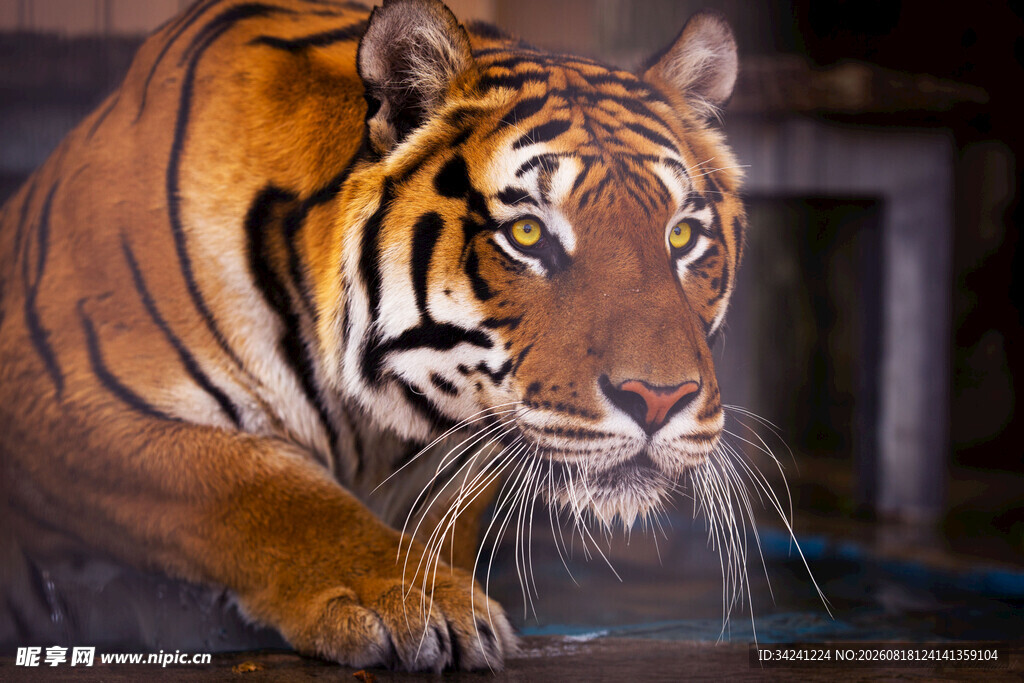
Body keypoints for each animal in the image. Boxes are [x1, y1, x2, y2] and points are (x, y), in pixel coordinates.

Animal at [0, 0, 745, 672]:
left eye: (682, 235)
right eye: (528, 233)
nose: (659, 399)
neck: (375, 418)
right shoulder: (65, 407)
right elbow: (264, 486)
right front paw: (412, 600)